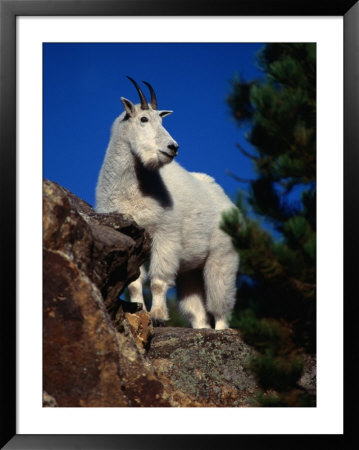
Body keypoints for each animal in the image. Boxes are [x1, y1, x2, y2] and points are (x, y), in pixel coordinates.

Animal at [97, 77, 240, 328]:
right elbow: (134, 282)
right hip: (191, 271)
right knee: (197, 311)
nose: (173, 147)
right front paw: (140, 311)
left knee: (220, 302)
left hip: (222, 257)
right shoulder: (136, 239)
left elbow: (158, 280)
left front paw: (158, 316)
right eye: (143, 119)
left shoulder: (164, 234)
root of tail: (226, 200)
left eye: (162, 119)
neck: (133, 187)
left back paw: (221, 329)